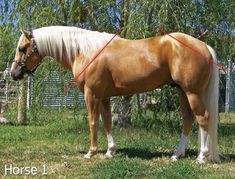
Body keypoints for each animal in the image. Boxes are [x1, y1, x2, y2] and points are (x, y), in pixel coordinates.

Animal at [10, 26, 220, 164]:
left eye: (22, 48)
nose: (14, 74)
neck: (84, 50)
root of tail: (204, 46)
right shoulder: (104, 96)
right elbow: (107, 122)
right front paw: (110, 152)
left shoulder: (91, 94)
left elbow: (93, 121)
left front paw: (91, 152)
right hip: (182, 91)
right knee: (189, 119)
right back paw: (177, 154)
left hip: (192, 92)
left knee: (203, 118)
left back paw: (202, 157)